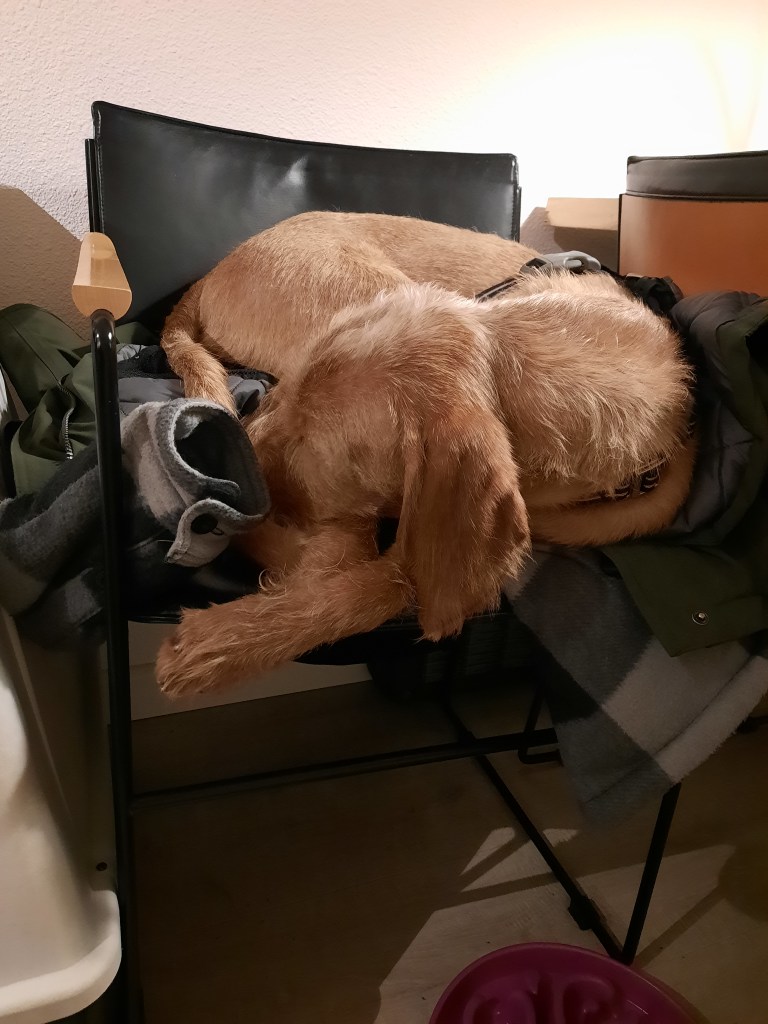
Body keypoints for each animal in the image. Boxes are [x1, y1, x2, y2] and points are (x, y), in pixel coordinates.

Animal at [154, 214, 695, 695]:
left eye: (316, 443)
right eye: (287, 398)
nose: (226, 476)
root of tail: (210, 274)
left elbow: (399, 577)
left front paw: (220, 642)